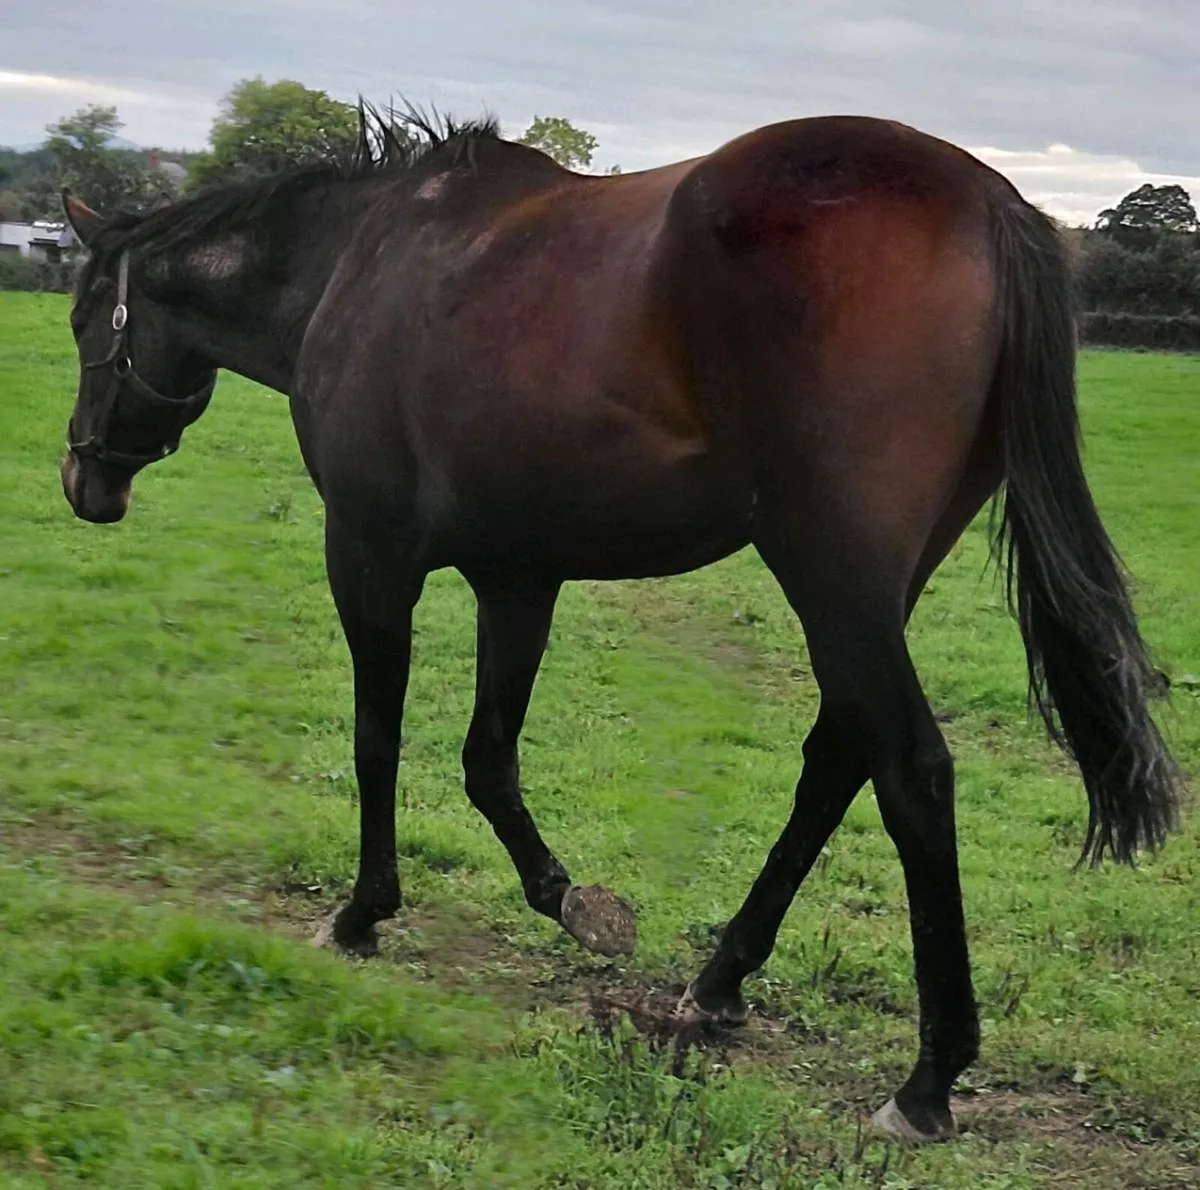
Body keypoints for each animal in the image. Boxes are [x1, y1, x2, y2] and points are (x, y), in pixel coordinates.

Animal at [58, 105, 1182, 1144]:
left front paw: (363, 912)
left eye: (82, 323)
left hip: (834, 575)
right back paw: (718, 984)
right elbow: (489, 756)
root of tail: (988, 203)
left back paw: (927, 1080)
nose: (83, 479)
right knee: (838, 752)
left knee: (909, 769)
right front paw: (569, 900)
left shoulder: (369, 554)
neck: (363, 261)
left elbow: (378, 738)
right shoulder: (517, 575)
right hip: (875, 585)